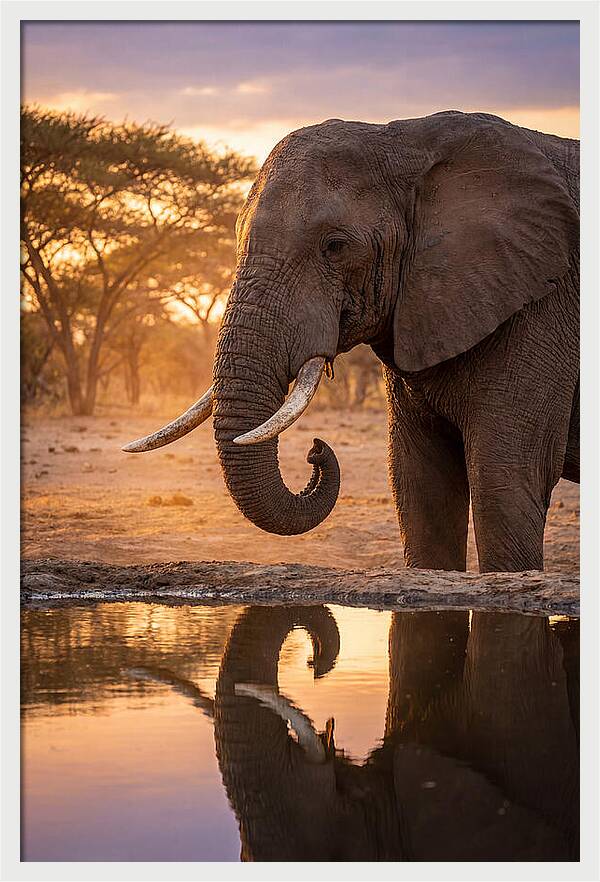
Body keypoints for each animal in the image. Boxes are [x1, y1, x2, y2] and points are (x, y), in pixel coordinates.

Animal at [124, 111, 579, 573]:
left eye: (335, 246)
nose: (316, 449)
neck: (409, 140)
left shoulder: (541, 306)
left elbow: (505, 480)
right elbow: (419, 484)